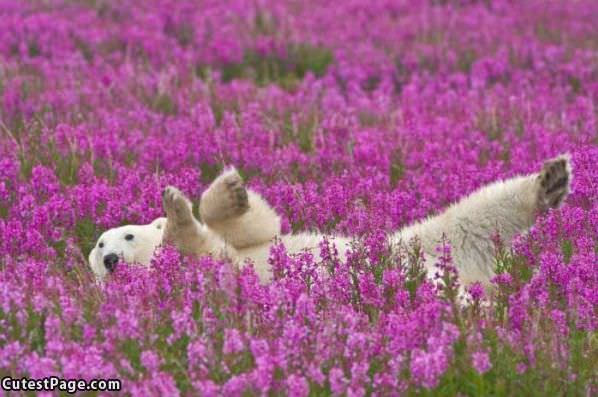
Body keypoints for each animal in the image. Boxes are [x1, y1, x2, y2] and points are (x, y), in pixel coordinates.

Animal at [88, 154, 572, 288]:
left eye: (123, 235)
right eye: (98, 248)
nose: (110, 260)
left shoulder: (249, 244)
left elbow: (258, 227)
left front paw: (226, 191)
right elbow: (197, 249)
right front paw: (177, 213)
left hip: (424, 243)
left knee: (477, 214)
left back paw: (550, 180)